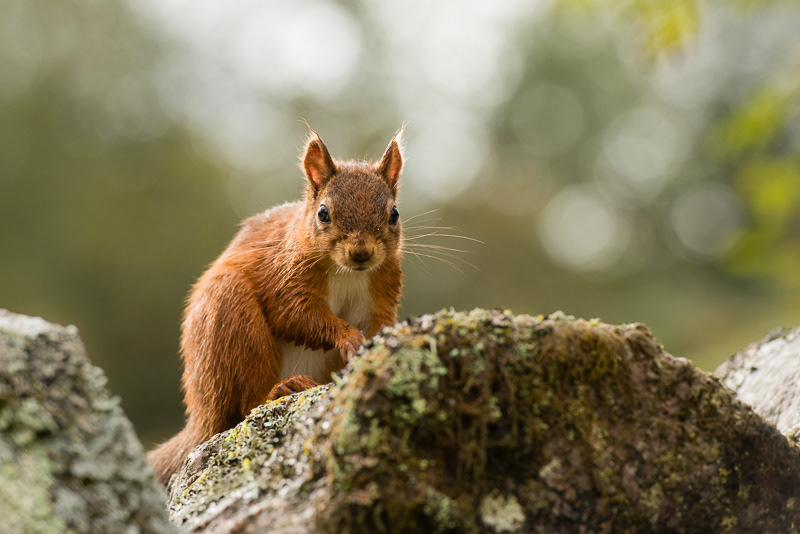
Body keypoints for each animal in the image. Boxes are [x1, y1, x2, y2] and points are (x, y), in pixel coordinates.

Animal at [147, 126, 404, 486]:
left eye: (394, 214)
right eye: (323, 213)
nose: (361, 253)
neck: (347, 274)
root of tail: (200, 417)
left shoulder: (382, 293)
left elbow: (380, 323)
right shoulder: (283, 275)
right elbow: (294, 314)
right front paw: (347, 336)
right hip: (231, 319)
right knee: (245, 405)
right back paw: (281, 389)